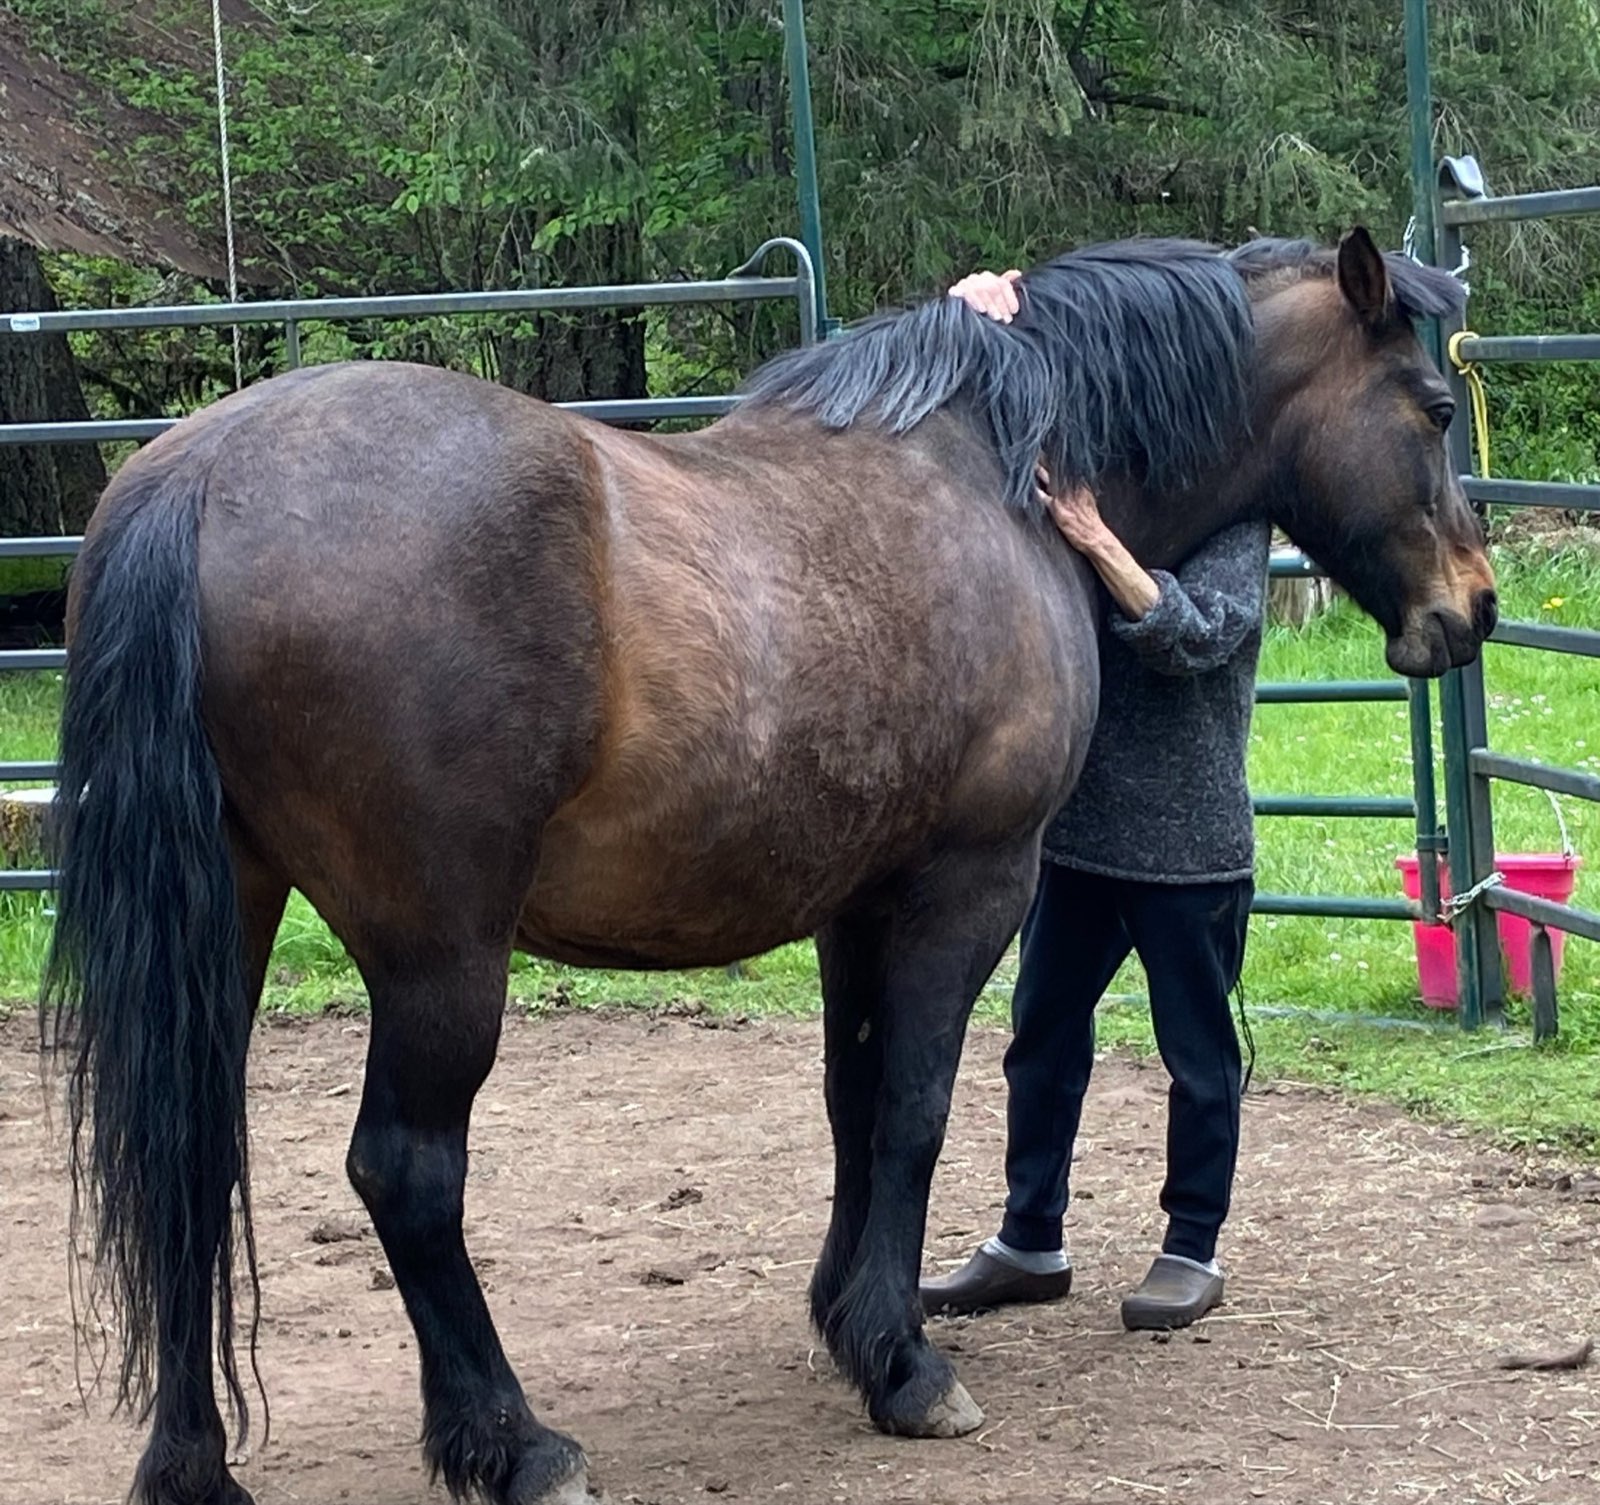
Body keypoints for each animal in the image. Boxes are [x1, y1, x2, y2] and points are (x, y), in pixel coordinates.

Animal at [43, 227, 1494, 1505]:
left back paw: (191, 1464)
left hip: (229, 916)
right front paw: (904, 1366)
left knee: (189, 1159)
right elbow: (914, 1103)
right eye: (1430, 408)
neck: (991, 471)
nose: (1471, 608)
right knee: (406, 1170)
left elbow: (852, 1100)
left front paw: (848, 1317)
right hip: (440, 957)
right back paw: (517, 1446)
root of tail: (196, 481)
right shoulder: (969, 884)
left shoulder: (858, 897)